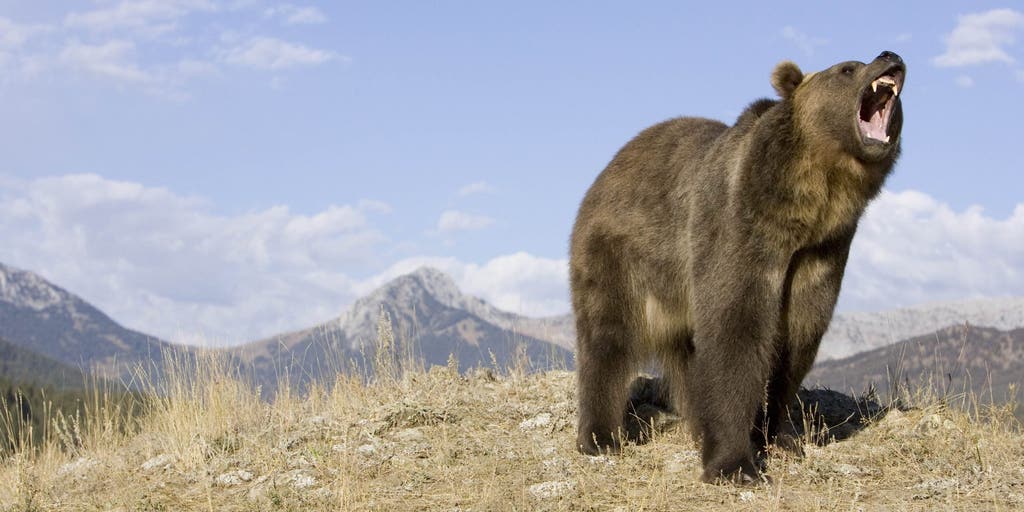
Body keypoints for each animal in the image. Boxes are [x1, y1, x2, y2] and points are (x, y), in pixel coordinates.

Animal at [570, 51, 905, 484]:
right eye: (847, 68)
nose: (890, 56)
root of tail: (609, 168)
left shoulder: (823, 250)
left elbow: (797, 337)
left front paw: (779, 435)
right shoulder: (741, 225)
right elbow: (736, 328)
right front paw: (735, 464)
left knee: (688, 356)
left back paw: (698, 426)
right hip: (621, 251)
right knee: (607, 337)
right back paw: (600, 437)